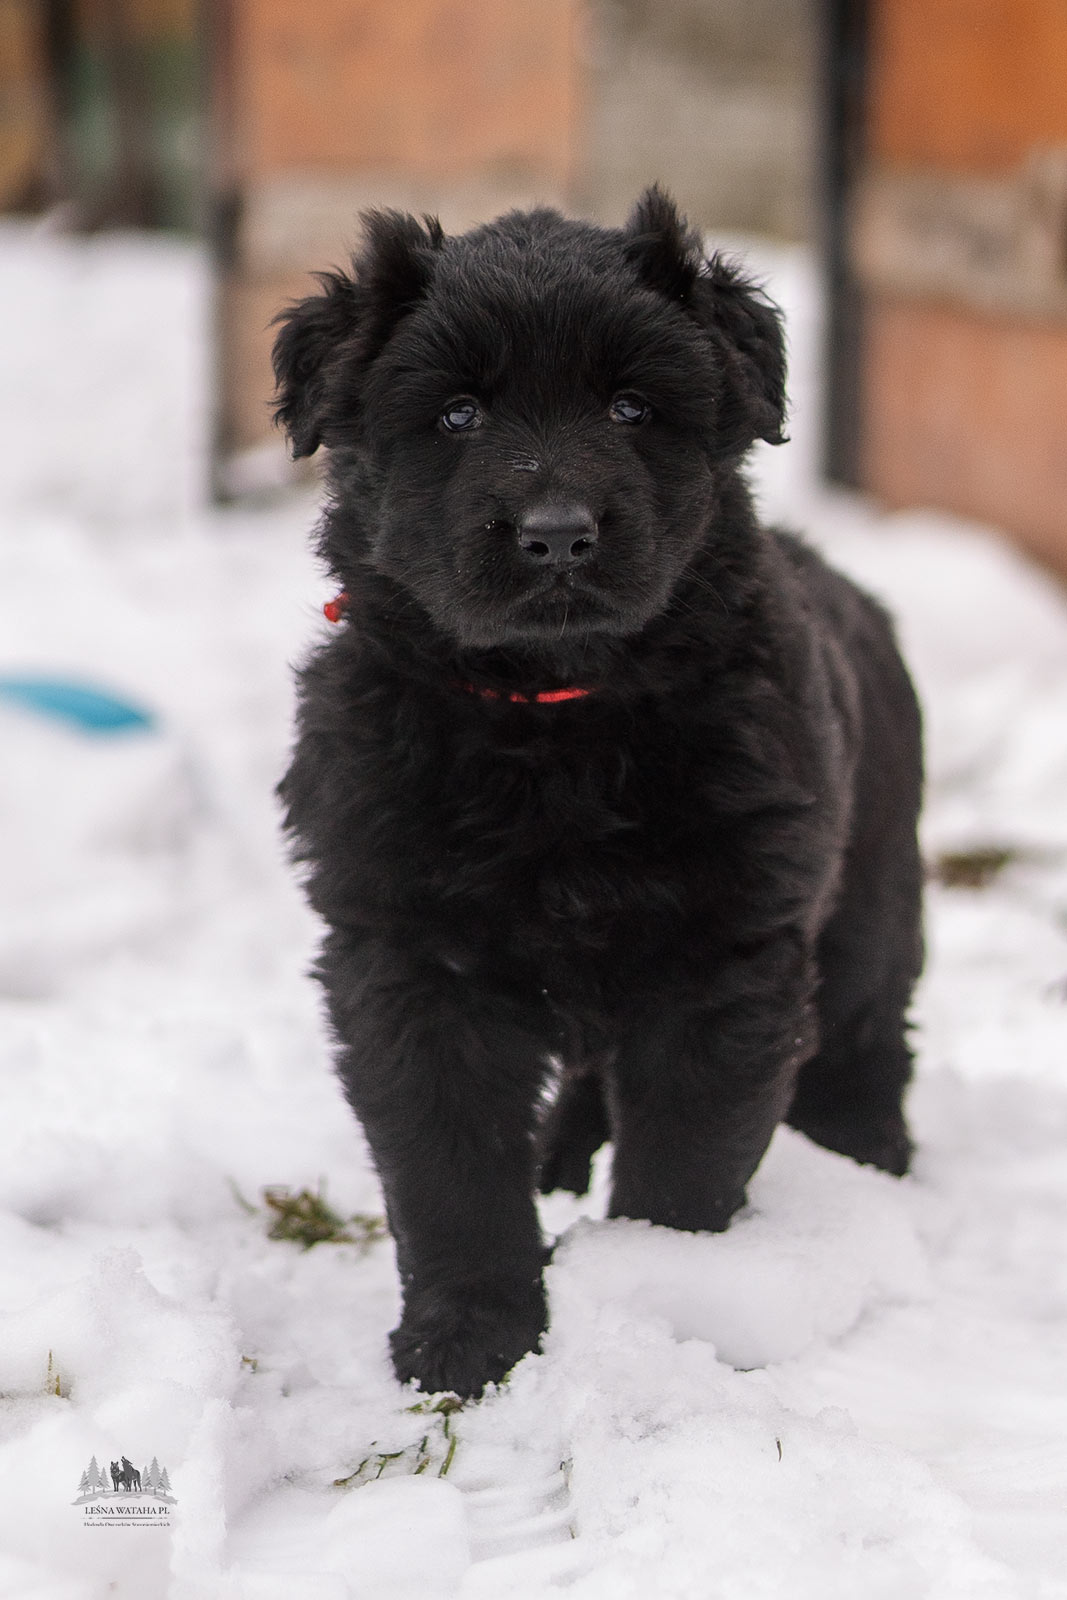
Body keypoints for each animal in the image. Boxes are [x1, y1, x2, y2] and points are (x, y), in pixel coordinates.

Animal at [272, 187, 923, 1399]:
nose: (558, 533)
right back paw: (562, 1167)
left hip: (872, 895)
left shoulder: (722, 962)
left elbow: (685, 1162)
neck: (553, 719)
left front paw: (663, 1299)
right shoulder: (409, 964)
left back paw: (867, 1163)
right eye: (458, 414)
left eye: (631, 406)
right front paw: (469, 1341)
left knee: (868, 1031)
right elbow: (448, 1176)